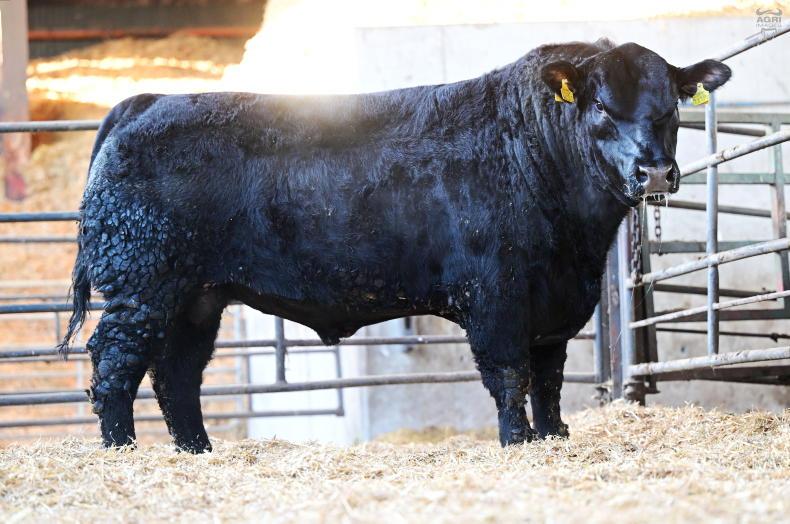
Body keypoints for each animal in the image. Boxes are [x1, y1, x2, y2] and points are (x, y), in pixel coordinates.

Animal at [58, 39, 731, 453]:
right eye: (601, 108)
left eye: (671, 108)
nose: (655, 171)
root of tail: (146, 101)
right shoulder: (496, 294)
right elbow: (509, 375)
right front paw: (518, 443)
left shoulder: (557, 304)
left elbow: (548, 379)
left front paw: (554, 438)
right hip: (142, 286)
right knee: (114, 365)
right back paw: (124, 452)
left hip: (196, 297)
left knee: (176, 374)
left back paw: (198, 452)